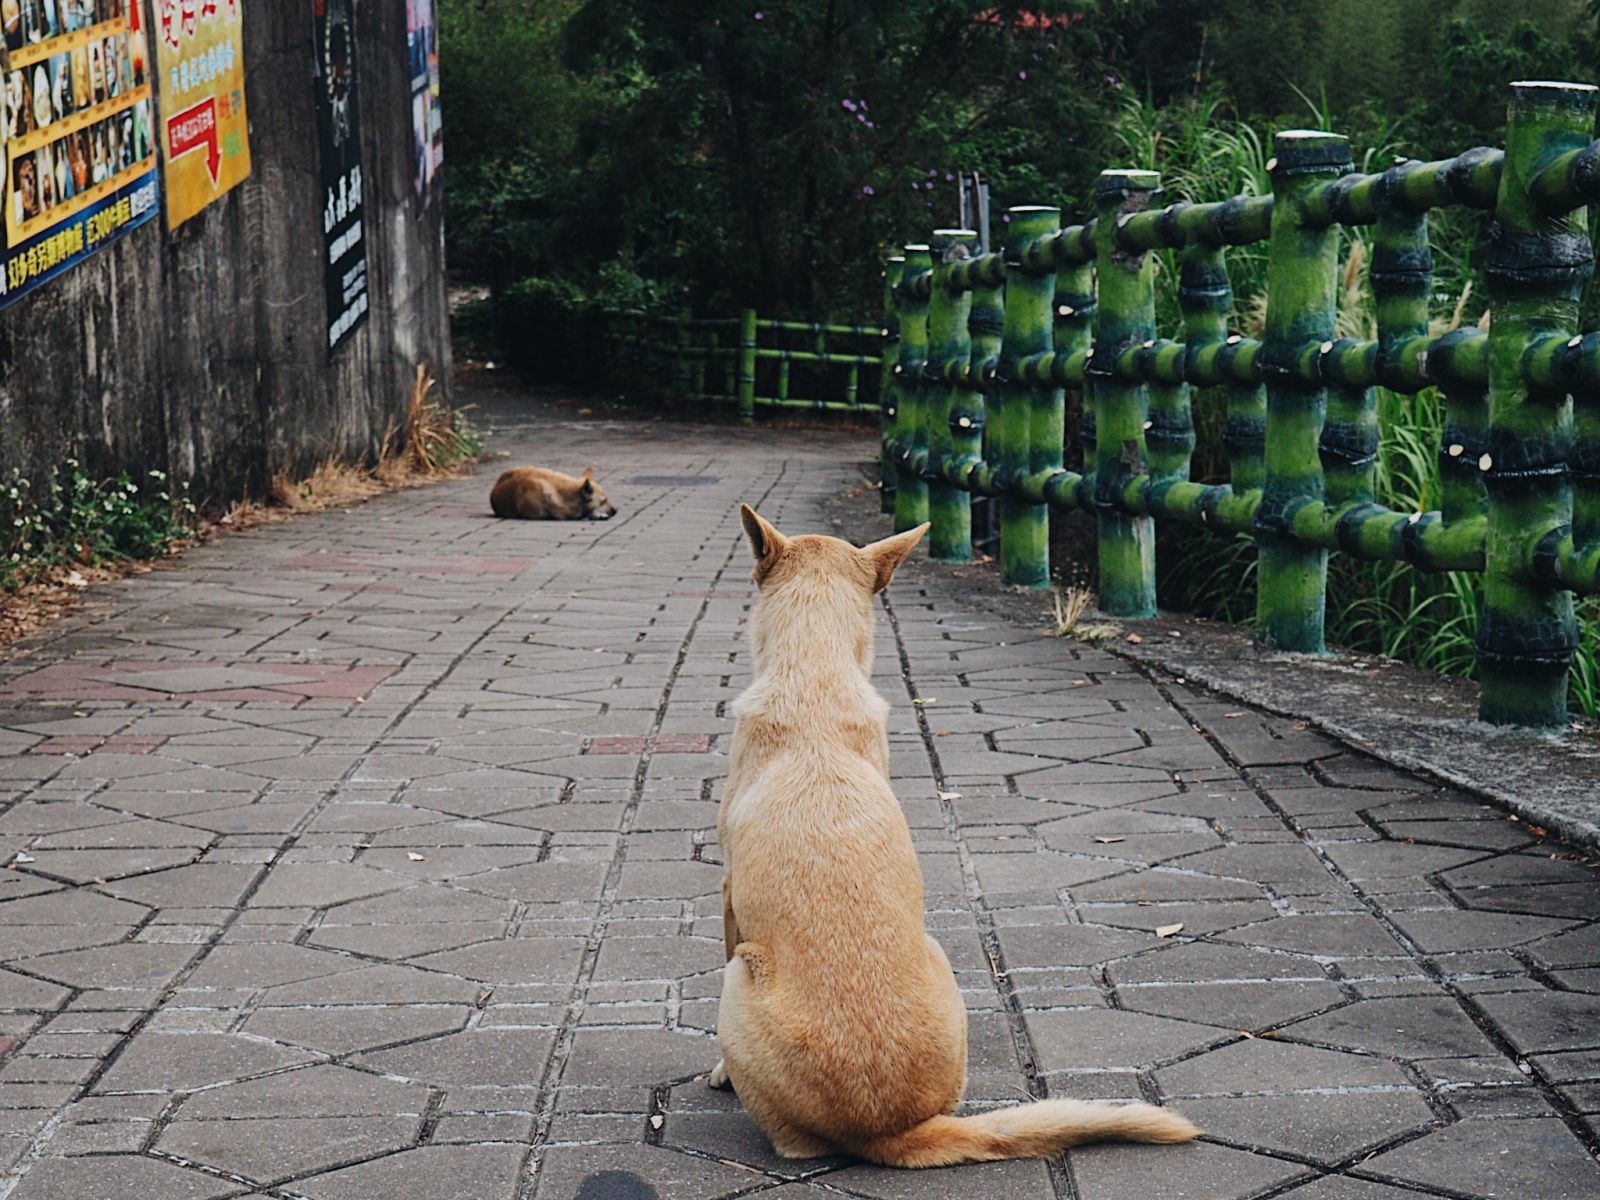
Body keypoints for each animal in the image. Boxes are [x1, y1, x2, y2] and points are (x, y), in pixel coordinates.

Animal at [716, 502, 1203, 1171]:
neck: (815, 672)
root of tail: (891, 1130)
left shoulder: (726, 894)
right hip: (941, 959)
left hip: (740, 979)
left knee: (794, 1145)